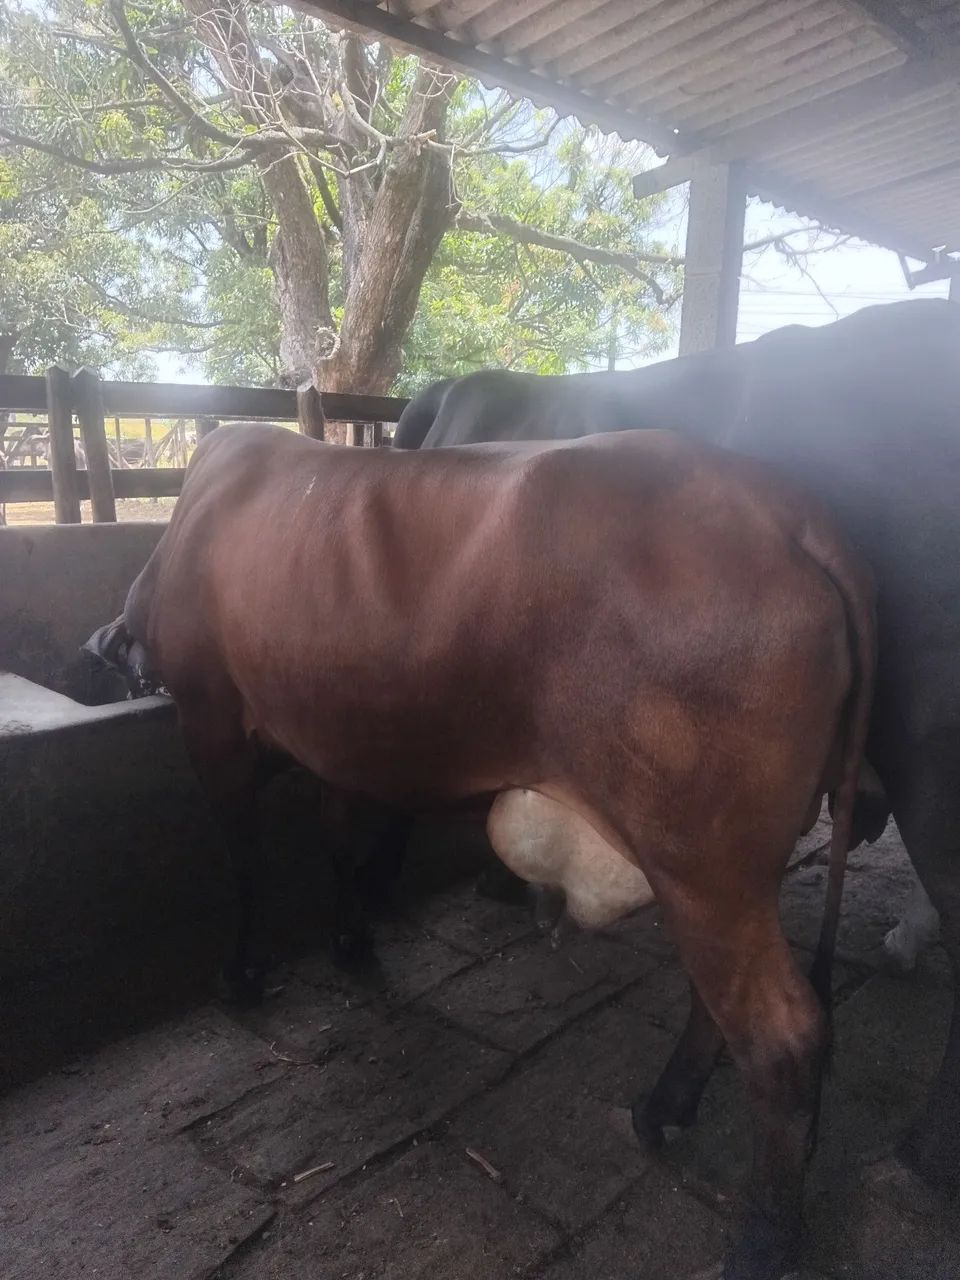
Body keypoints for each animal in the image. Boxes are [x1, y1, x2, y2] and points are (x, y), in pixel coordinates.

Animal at [87, 422, 874, 1280]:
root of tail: (786, 511)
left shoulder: (211, 723)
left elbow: (246, 862)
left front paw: (242, 974)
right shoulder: (338, 745)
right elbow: (338, 842)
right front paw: (350, 941)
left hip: (704, 864)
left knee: (782, 1036)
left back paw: (765, 1236)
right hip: (724, 872)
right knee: (720, 1003)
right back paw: (663, 1108)